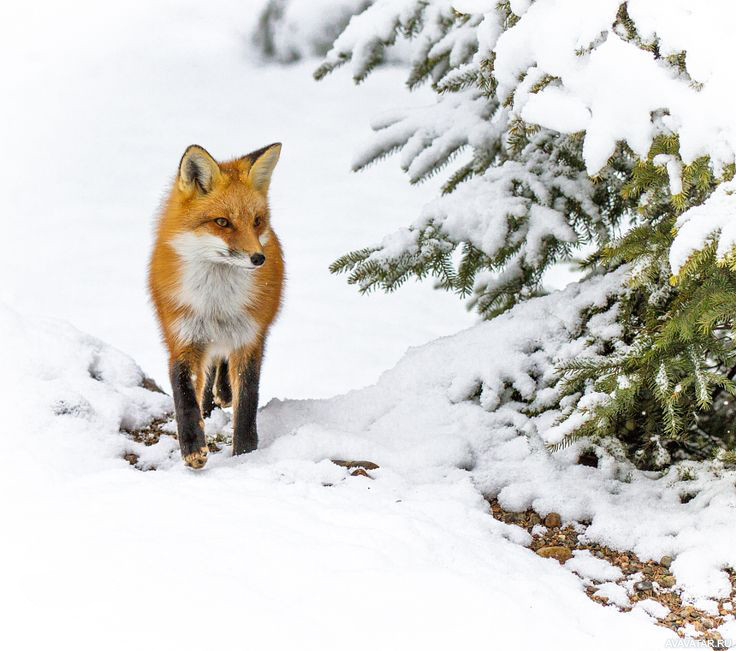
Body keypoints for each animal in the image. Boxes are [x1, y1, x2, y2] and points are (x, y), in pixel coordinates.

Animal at [150, 144, 284, 468]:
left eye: (257, 221)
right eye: (222, 222)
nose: (258, 258)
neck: (216, 303)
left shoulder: (250, 338)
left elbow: (247, 400)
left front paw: (245, 454)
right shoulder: (182, 336)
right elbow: (184, 391)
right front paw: (192, 447)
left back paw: (223, 392)